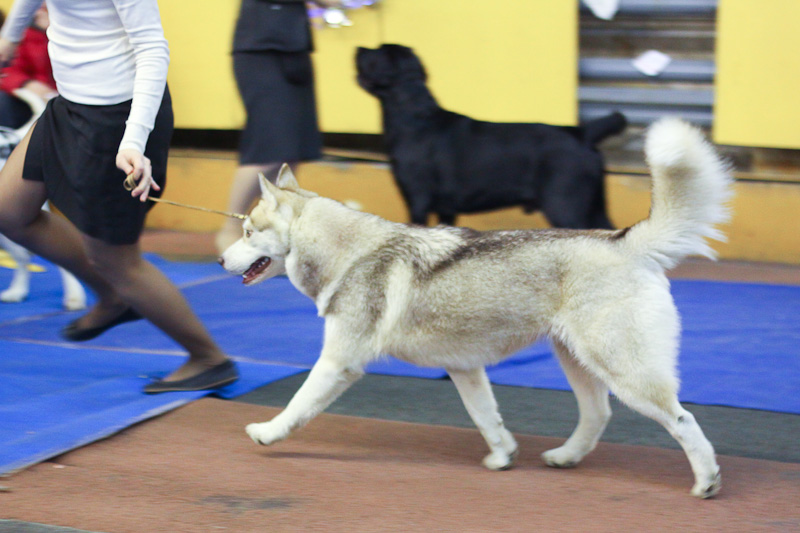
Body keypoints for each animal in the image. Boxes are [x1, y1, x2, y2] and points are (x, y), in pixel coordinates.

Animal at [219, 118, 732, 498]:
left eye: (247, 232)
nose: (220, 259)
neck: (350, 252)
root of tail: (625, 241)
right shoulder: (464, 368)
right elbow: (488, 419)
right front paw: (503, 457)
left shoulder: (338, 363)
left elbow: (297, 405)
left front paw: (268, 432)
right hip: (579, 362)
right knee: (598, 415)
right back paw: (565, 457)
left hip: (623, 370)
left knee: (683, 421)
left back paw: (707, 481)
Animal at [355, 44, 627, 228]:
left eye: (379, 52)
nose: (359, 48)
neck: (413, 114)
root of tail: (583, 132)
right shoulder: (445, 208)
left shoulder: (417, 200)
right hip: (594, 208)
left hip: (566, 206)